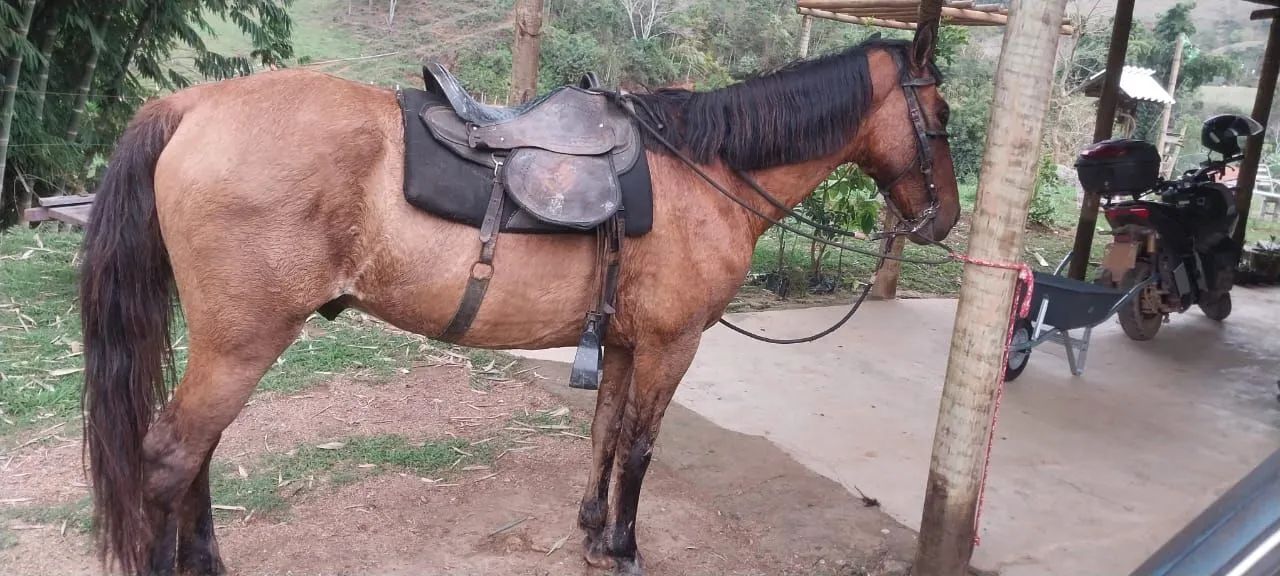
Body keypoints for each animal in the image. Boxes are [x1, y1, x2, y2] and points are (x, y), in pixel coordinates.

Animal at [79, 38, 958, 575]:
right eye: (942, 117)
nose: (943, 219)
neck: (704, 171)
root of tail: (190, 107)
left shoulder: (626, 344)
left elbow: (606, 434)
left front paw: (592, 532)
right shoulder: (671, 347)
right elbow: (642, 447)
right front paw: (625, 546)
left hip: (230, 344)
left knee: (197, 453)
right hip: (242, 343)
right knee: (171, 458)